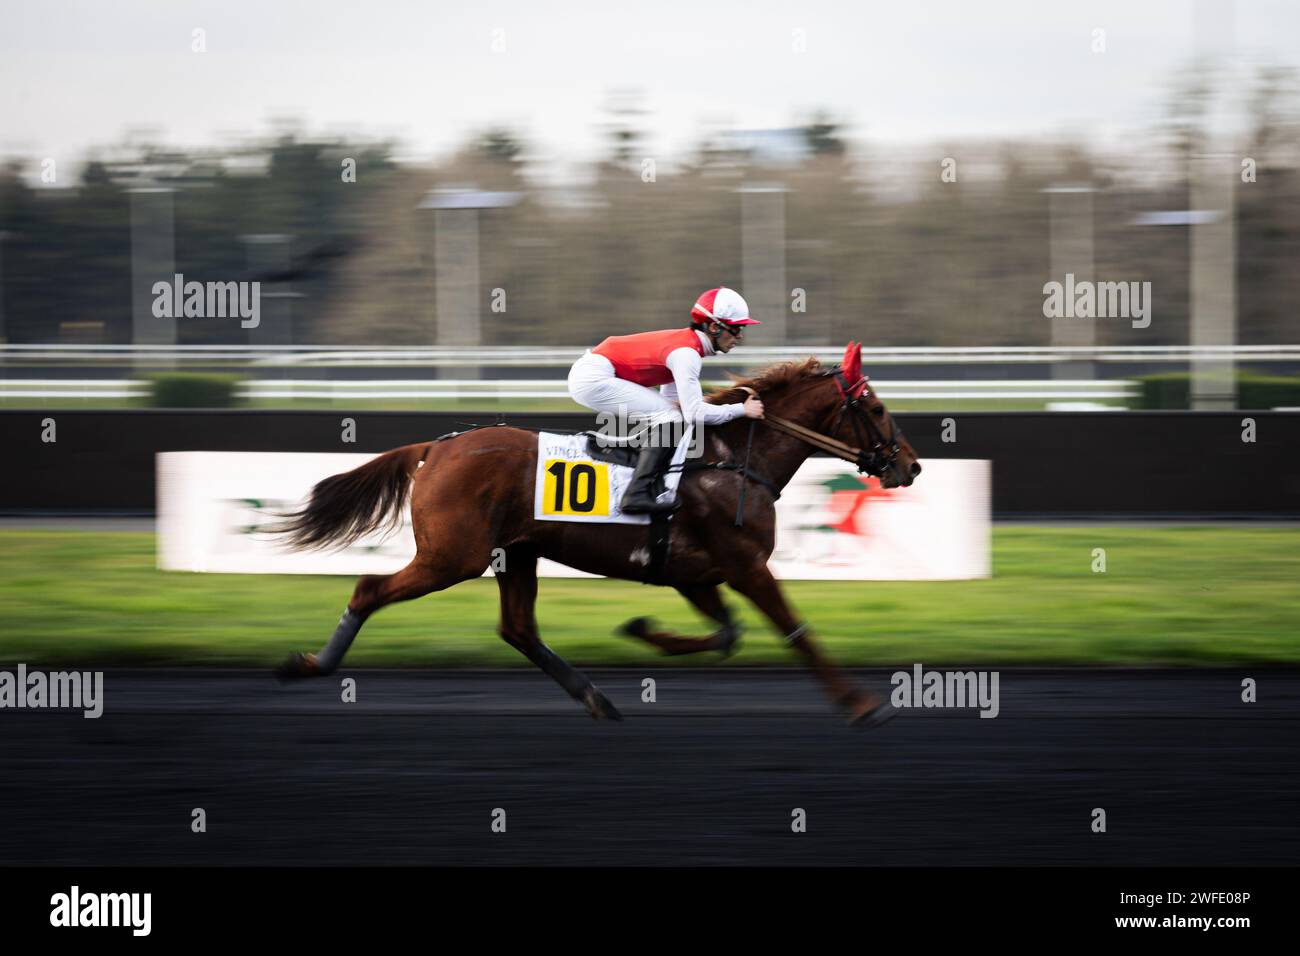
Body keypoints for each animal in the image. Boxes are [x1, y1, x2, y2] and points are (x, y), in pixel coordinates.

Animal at [271, 343, 925, 723]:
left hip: (516, 553)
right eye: (875, 406)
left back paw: (596, 698)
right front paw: (861, 703)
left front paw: (643, 630)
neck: (733, 460)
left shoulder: (694, 573)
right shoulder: (745, 566)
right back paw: (313, 665)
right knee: (369, 589)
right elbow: (794, 630)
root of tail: (437, 445)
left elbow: (726, 635)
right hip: (452, 556)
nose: (911, 465)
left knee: (517, 628)